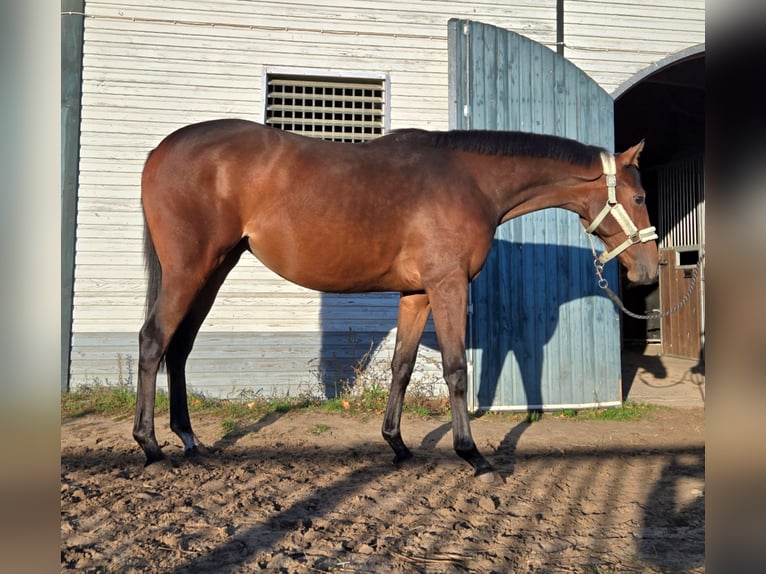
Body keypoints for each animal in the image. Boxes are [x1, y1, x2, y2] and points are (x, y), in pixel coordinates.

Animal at [134, 119, 660, 484]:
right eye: (638, 197)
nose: (648, 271)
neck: (470, 180)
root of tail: (160, 150)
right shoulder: (449, 286)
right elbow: (456, 369)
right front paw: (475, 457)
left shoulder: (417, 294)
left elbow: (402, 366)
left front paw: (398, 446)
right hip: (189, 270)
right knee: (153, 341)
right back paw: (151, 448)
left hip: (214, 269)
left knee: (179, 348)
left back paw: (189, 439)